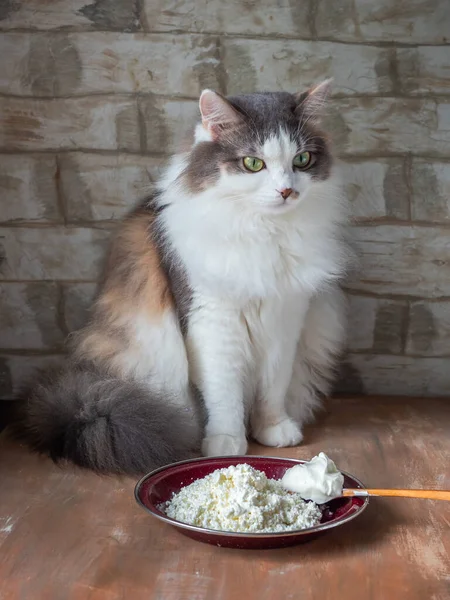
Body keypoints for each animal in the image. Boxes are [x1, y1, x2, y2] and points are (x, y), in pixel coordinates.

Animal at [10, 79, 348, 474]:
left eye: (302, 160)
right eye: (253, 164)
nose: (286, 191)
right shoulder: (210, 318)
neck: (264, 231)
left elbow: (273, 386)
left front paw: (272, 430)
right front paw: (225, 442)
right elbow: (223, 391)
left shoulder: (285, 319)